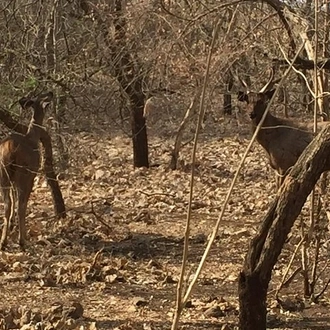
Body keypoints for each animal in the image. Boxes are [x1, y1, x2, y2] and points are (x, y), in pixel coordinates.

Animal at [0, 91, 53, 251]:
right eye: (44, 95)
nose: (51, 92)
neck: (33, 136)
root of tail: (10, 148)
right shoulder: (32, 174)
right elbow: (22, 202)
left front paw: (11, 224)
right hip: (23, 173)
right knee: (20, 204)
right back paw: (22, 240)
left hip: (4, 174)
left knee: (7, 203)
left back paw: (3, 242)